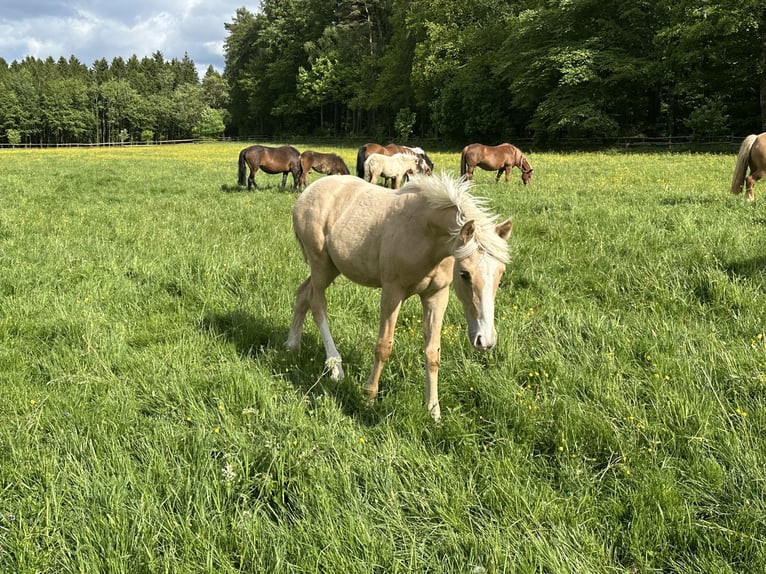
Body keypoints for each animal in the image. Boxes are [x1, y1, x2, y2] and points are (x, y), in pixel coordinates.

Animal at [286, 172, 513, 421]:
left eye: (501, 273)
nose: (485, 340)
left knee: (303, 294)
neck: (424, 232)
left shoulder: (436, 295)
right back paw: (336, 367)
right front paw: (369, 399)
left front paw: (434, 411)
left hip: (331, 268)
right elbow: (383, 346)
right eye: (464, 274)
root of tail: (308, 193)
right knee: (318, 305)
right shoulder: (392, 292)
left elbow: (433, 352)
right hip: (321, 266)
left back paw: (292, 345)